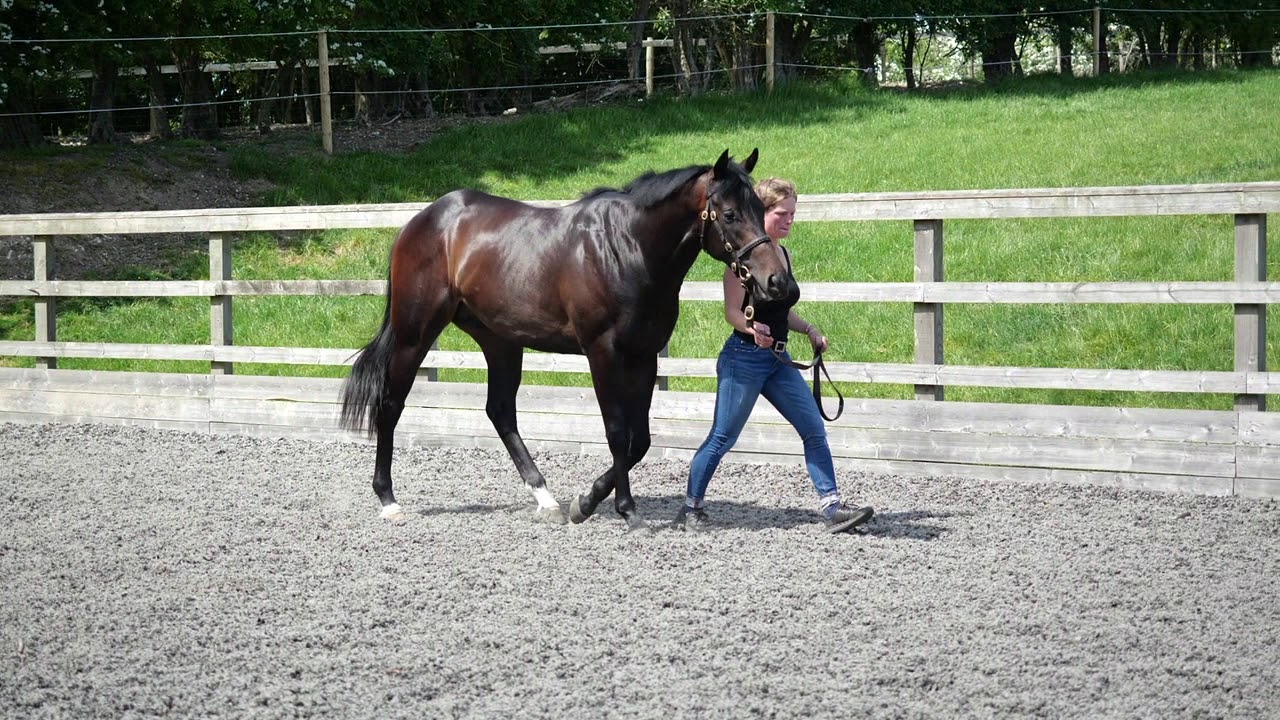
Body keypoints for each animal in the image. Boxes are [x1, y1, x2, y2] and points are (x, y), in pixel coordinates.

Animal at [339, 149, 797, 530]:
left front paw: (586, 502)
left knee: (501, 412)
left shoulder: (644, 356)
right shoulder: (603, 353)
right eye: (730, 213)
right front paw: (627, 512)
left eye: (761, 208)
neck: (628, 248)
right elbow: (617, 432)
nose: (779, 283)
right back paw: (388, 500)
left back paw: (547, 500)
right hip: (414, 335)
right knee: (391, 404)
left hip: (500, 342)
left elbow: (641, 440)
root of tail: (421, 221)